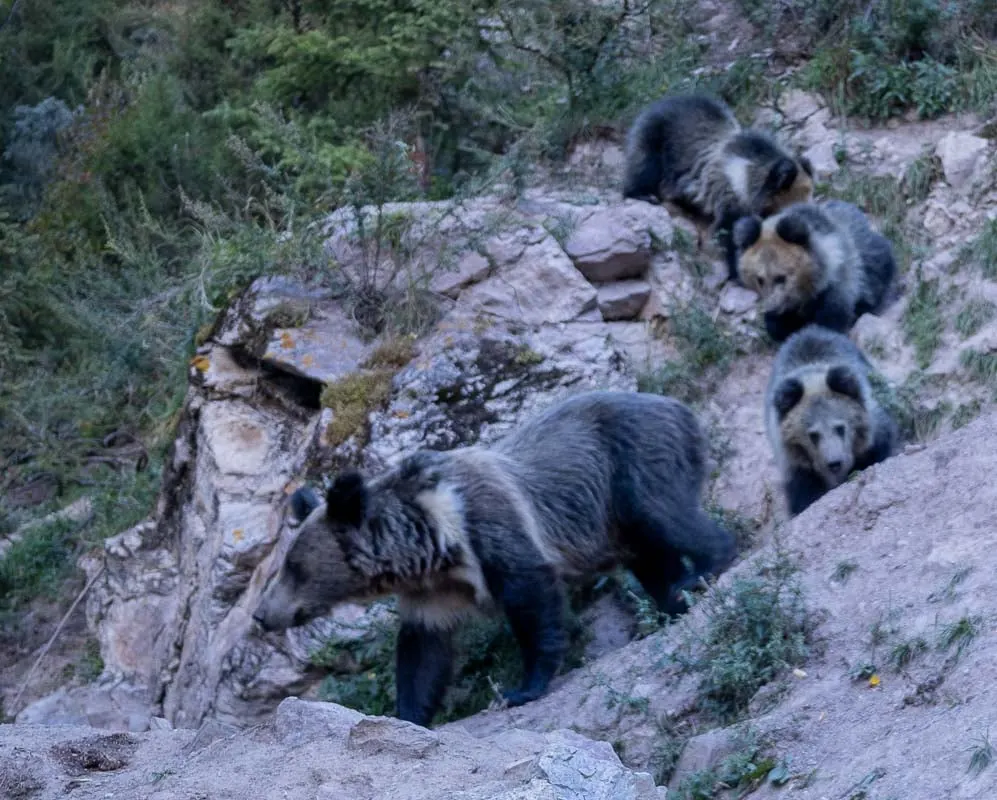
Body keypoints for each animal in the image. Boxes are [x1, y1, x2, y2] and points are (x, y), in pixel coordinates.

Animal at [254, 390, 737, 728]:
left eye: (293, 567)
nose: (261, 615)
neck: (434, 541)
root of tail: (680, 407)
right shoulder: (433, 592)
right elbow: (423, 654)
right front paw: (406, 714)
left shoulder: (489, 525)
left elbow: (532, 599)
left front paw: (521, 688)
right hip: (616, 516)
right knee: (651, 553)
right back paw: (672, 603)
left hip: (629, 460)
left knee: (663, 513)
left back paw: (705, 571)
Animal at [622, 92, 814, 281]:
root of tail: (663, 100)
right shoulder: (729, 198)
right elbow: (730, 233)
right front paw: (738, 271)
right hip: (658, 136)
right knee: (645, 165)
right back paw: (643, 194)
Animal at [765, 325, 898, 516]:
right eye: (813, 435)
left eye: (840, 427)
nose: (835, 463)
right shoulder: (796, 465)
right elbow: (803, 495)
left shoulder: (874, 435)